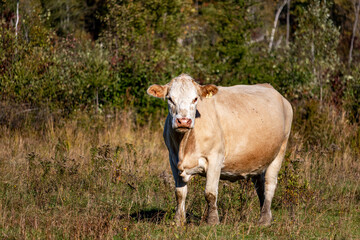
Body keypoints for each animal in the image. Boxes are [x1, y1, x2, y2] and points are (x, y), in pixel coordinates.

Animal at [146, 73, 292, 227]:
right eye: (170, 98)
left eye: (195, 98)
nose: (184, 121)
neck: (184, 145)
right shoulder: (173, 160)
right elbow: (179, 193)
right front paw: (178, 221)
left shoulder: (215, 158)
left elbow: (210, 193)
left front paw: (213, 221)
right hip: (258, 159)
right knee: (260, 186)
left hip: (280, 151)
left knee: (270, 184)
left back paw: (264, 220)